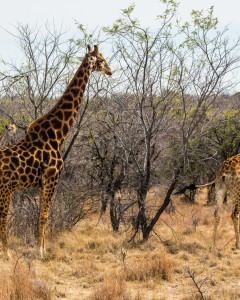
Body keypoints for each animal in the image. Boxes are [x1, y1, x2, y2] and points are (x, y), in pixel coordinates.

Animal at [0, 44, 111, 258]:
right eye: (101, 59)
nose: (110, 71)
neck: (57, 134)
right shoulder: (52, 177)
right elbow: (44, 215)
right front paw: (40, 252)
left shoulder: (43, 182)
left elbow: (41, 215)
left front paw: (40, 248)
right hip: (5, 190)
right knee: (2, 218)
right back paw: (7, 254)